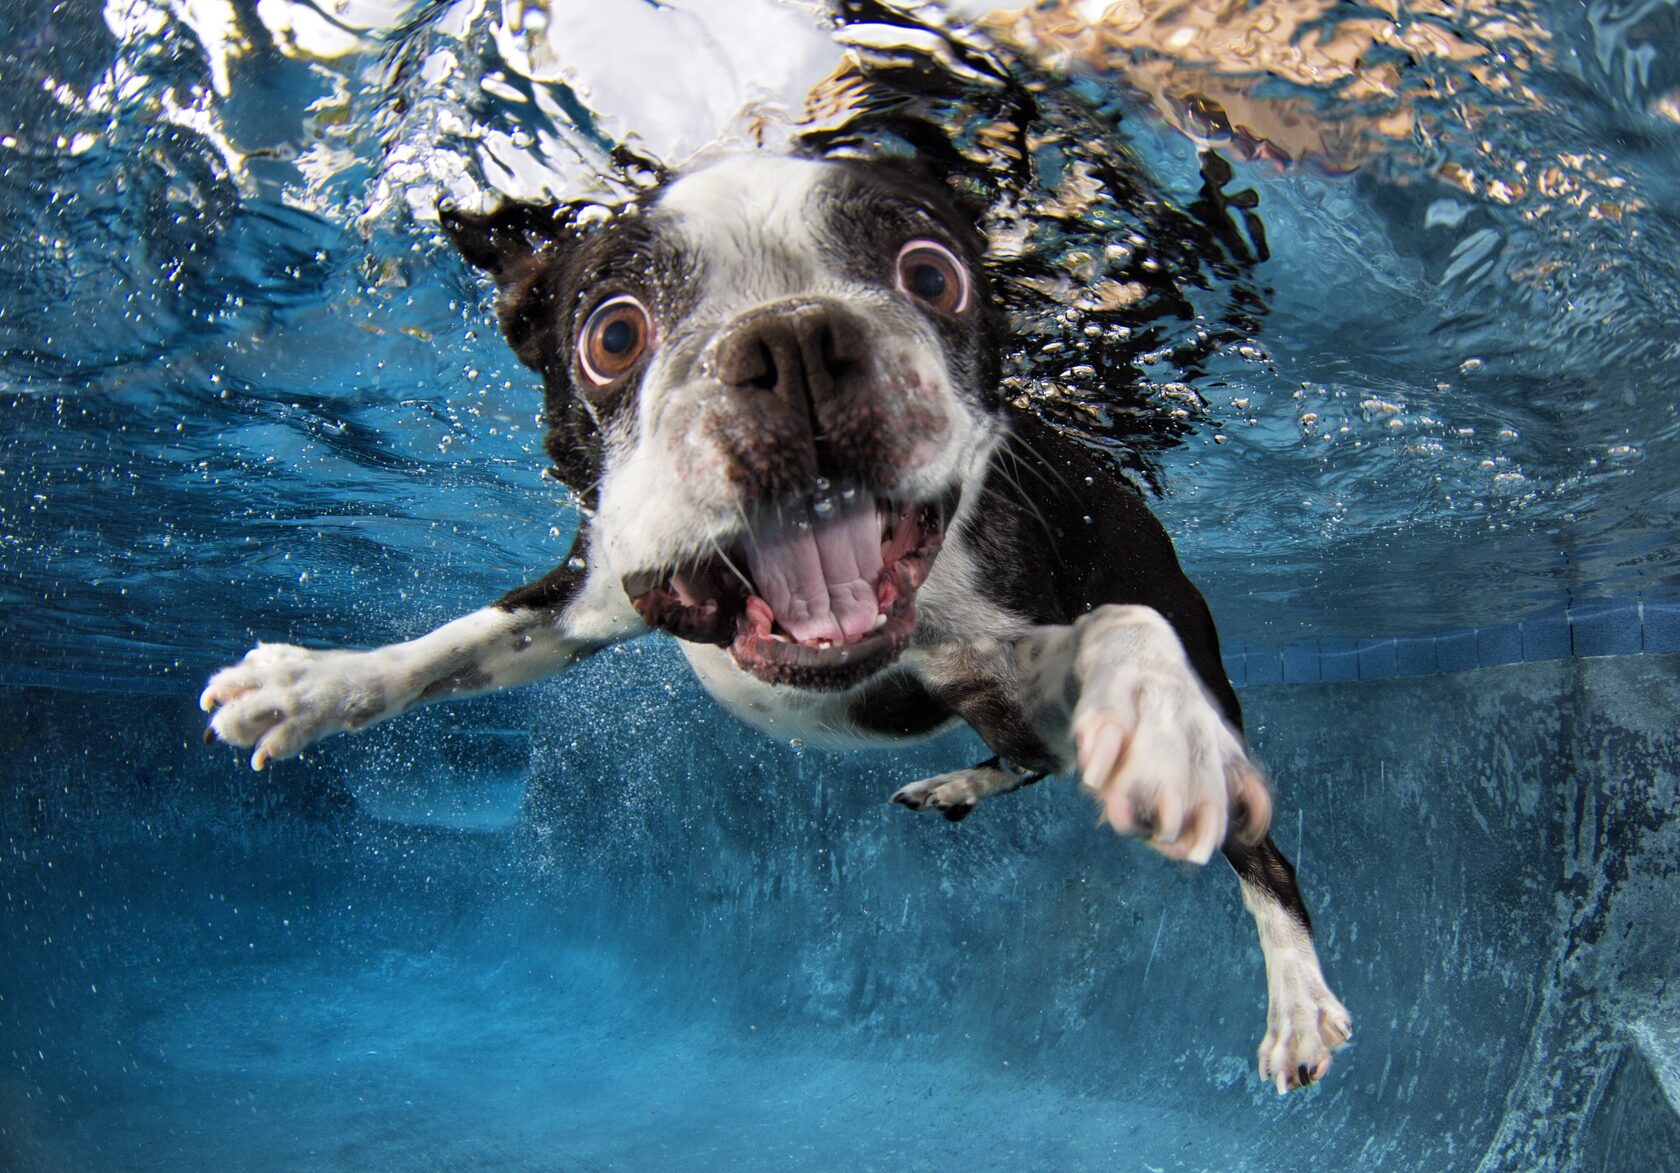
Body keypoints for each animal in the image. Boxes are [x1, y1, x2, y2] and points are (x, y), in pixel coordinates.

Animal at [199, 152, 1350, 1088]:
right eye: (612, 334)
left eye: (933, 274)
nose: (795, 337)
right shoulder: (585, 597)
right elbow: (455, 643)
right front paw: (309, 685)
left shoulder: (1002, 643)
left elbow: (1125, 631)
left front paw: (1162, 726)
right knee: (1029, 758)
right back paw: (953, 787)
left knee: (1258, 852)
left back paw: (1296, 1000)